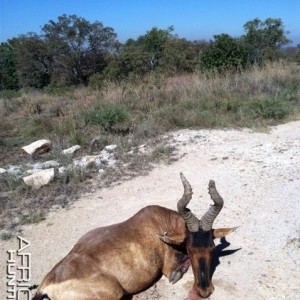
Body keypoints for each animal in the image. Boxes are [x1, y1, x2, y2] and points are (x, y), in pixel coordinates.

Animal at [31, 173, 237, 300]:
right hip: (114, 291)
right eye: (190, 248)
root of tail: (47, 282)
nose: (204, 291)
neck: (161, 221)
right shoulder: (168, 266)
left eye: (211, 247)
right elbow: (175, 269)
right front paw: (178, 273)